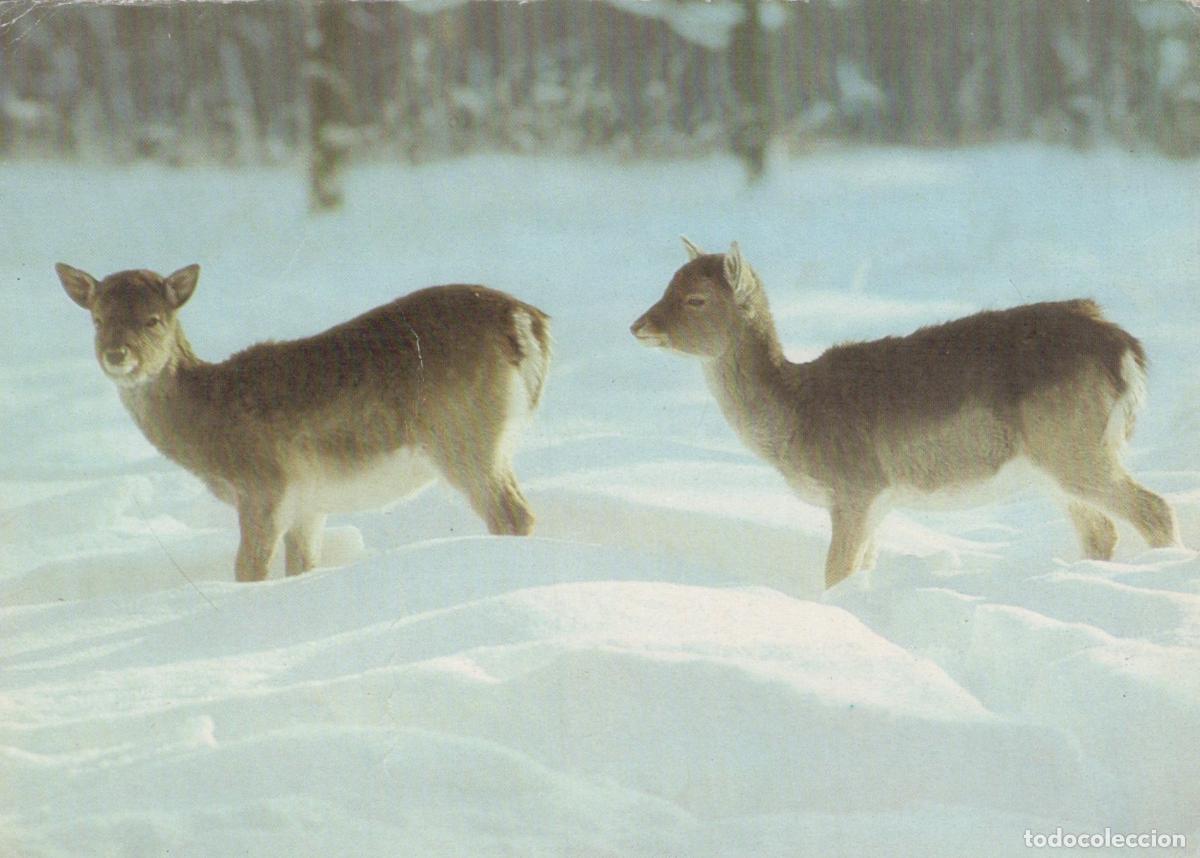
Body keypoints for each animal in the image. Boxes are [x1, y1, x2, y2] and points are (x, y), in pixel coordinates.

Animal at [57, 262, 551, 582]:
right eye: (97, 319)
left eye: (154, 319)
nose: (116, 355)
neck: (207, 424)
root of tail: (527, 321)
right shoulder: (310, 504)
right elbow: (302, 567)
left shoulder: (265, 485)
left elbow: (248, 570)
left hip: (464, 435)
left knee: (514, 515)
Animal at [631, 239, 1180, 590]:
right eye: (667, 283)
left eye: (696, 298)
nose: (638, 325)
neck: (796, 416)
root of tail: (1125, 348)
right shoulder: (877, 503)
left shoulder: (855, 486)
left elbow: (834, 574)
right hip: (1057, 465)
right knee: (1102, 531)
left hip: (1074, 446)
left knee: (1155, 509)